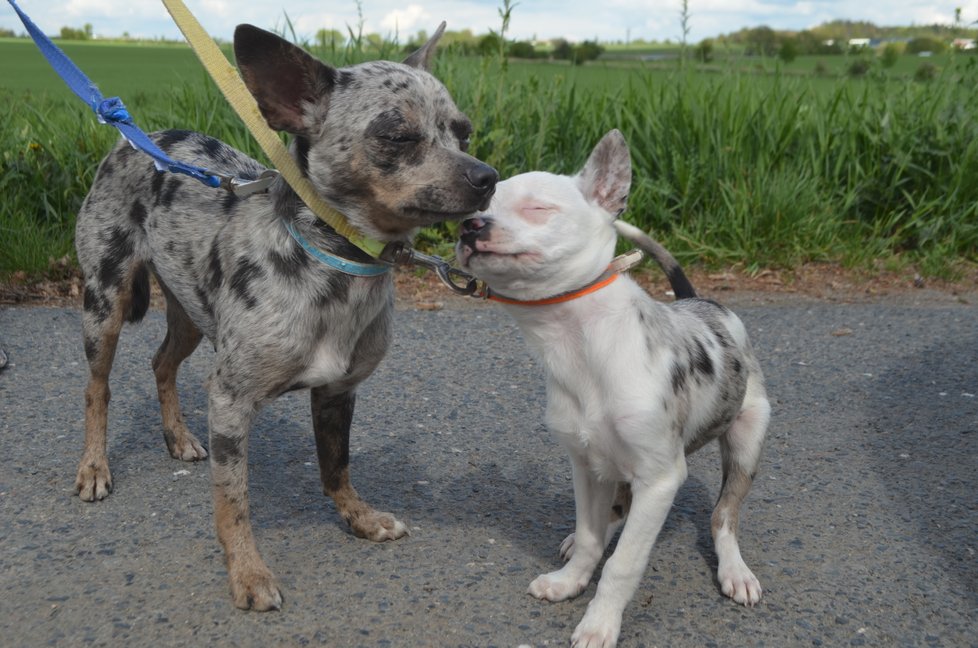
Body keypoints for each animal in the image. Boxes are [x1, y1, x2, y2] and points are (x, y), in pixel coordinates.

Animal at [72, 24, 496, 612]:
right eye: (398, 136)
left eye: (465, 134)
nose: (488, 178)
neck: (338, 266)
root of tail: (134, 137)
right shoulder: (230, 402)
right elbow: (233, 502)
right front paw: (246, 571)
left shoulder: (338, 392)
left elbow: (337, 466)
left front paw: (359, 518)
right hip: (105, 304)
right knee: (98, 388)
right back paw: (94, 466)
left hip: (190, 311)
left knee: (161, 363)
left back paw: (177, 436)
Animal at [454, 129, 768, 644]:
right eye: (479, 205)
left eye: (538, 208)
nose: (469, 226)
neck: (579, 345)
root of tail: (698, 300)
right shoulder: (585, 464)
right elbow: (589, 537)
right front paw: (570, 581)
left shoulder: (661, 479)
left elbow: (623, 565)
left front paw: (600, 623)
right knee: (618, 510)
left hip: (747, 439)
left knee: (723, 516)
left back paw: (735, 570)